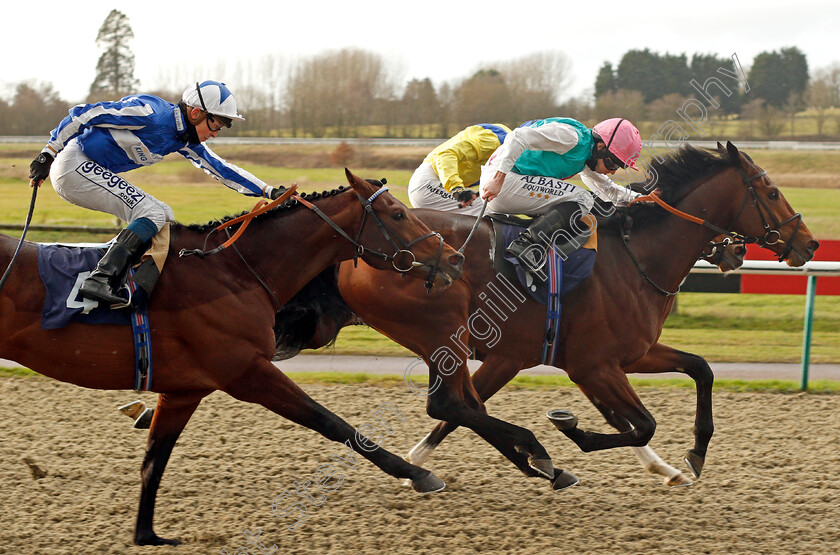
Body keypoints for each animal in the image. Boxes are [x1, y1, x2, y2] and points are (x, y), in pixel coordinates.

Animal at [0, 170, 466, 548]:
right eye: (398, 214)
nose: (454, 257)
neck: (233, 272)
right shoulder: (247, 372)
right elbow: (333, 422)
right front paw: (419, 475)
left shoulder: (184, 389)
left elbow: (153, 461)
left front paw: (147, 534)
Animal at [276, 143, 820, 490]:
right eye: (771, 192)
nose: (809, 243)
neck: (636, 256)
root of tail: (350, 254)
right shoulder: (592, 365)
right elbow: (640, 424)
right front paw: (569, 428)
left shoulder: (626, 355)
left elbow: (700, 370)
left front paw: (689, 457)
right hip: (443, 329)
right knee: (449, 405)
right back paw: (534, 455)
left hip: (449, 342)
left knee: (459, 405)